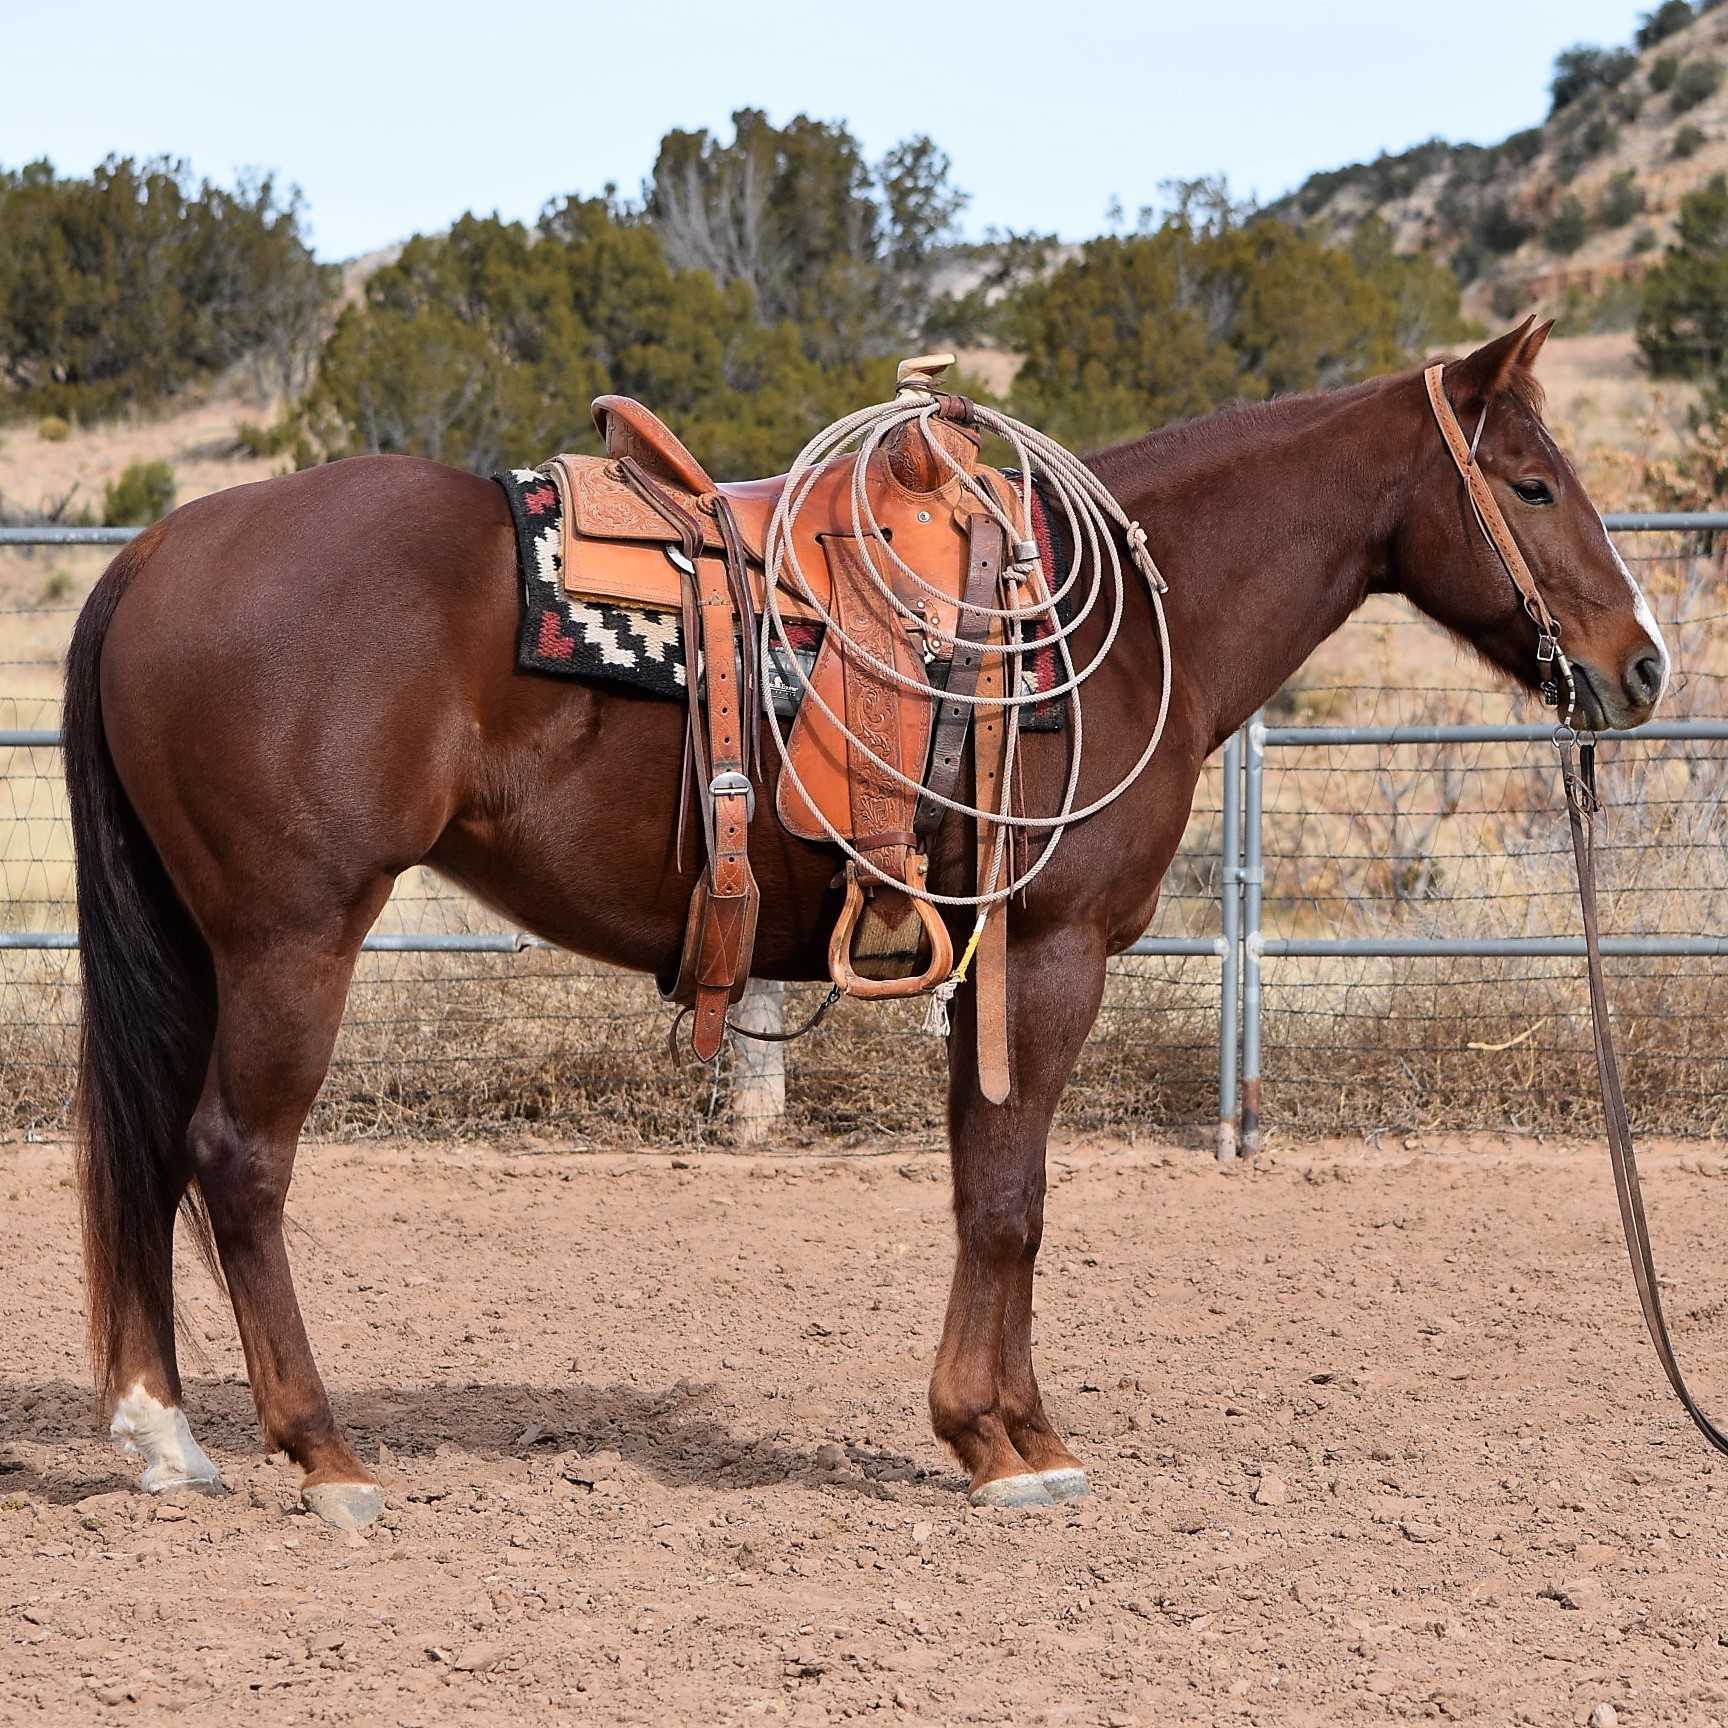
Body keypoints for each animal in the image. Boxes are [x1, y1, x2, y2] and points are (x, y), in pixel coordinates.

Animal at [70, 321, 1672, 1527]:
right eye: (1531, 485)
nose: (1642, 665)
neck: (1095, 638)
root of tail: (160, 547)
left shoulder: (990, 967)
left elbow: (985, 1189)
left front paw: (1002, 1428)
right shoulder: (1054, 954)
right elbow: (1015, 1201)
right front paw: (1008, 1450)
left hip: (209, 944)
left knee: (151, 1144)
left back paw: (164, 1435)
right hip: (295, 938)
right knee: (238, 1159)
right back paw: (325, 1455)